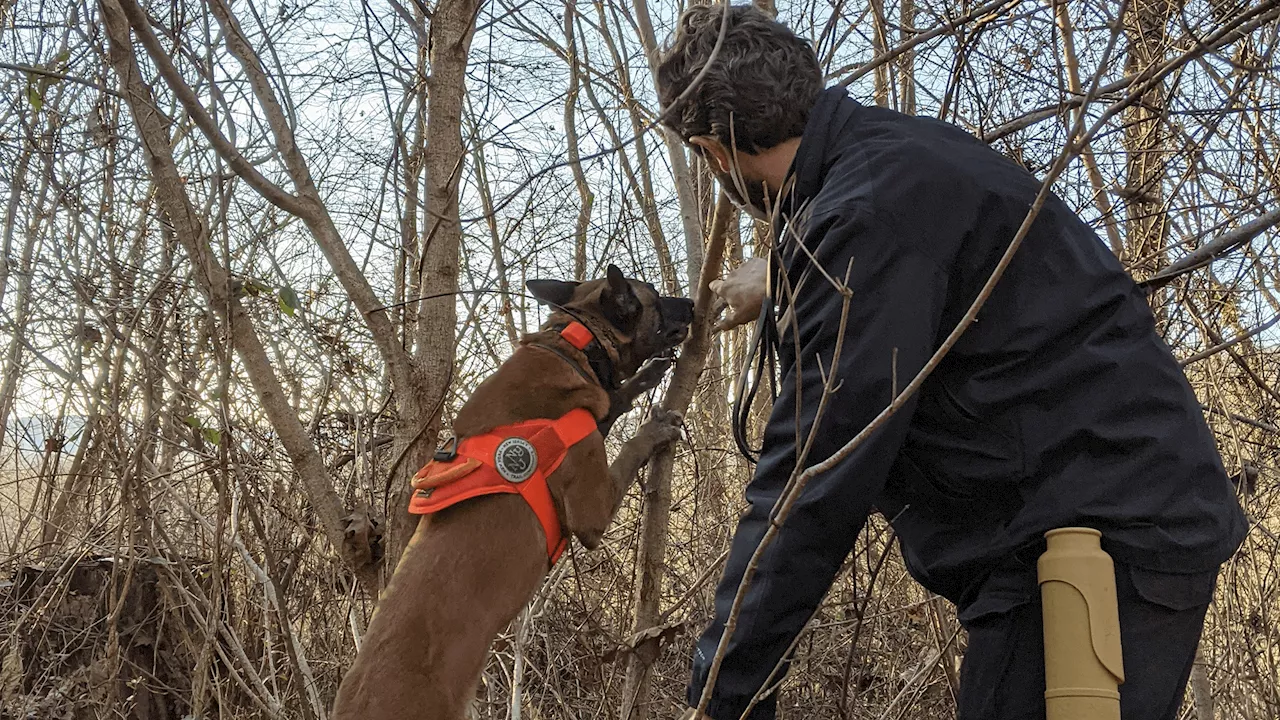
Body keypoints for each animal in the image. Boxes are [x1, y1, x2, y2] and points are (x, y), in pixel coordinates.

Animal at [330, 265, 691, 717]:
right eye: (656, 298)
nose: (692, 303)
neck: (573, 342)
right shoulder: (591, 510)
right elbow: (627, 450)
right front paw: (654, 429)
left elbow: (615, 399)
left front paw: (643, 379)